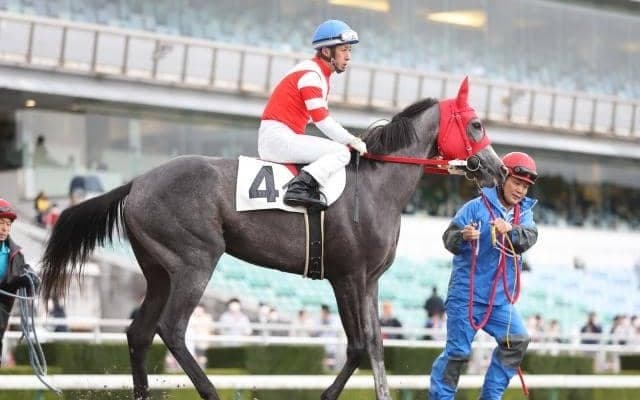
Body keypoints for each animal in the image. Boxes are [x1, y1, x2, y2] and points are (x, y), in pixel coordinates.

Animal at [40, 77, 506, 400]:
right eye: (476, 123)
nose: (498, 170)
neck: (375, 185)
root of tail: (135, 183)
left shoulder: (370, 281)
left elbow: (374, 346)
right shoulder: (347, 277)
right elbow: (357, 346)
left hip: (159, 270)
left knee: (139, 333)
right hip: (195, 260)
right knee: (171, 329)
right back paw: (211, 391)